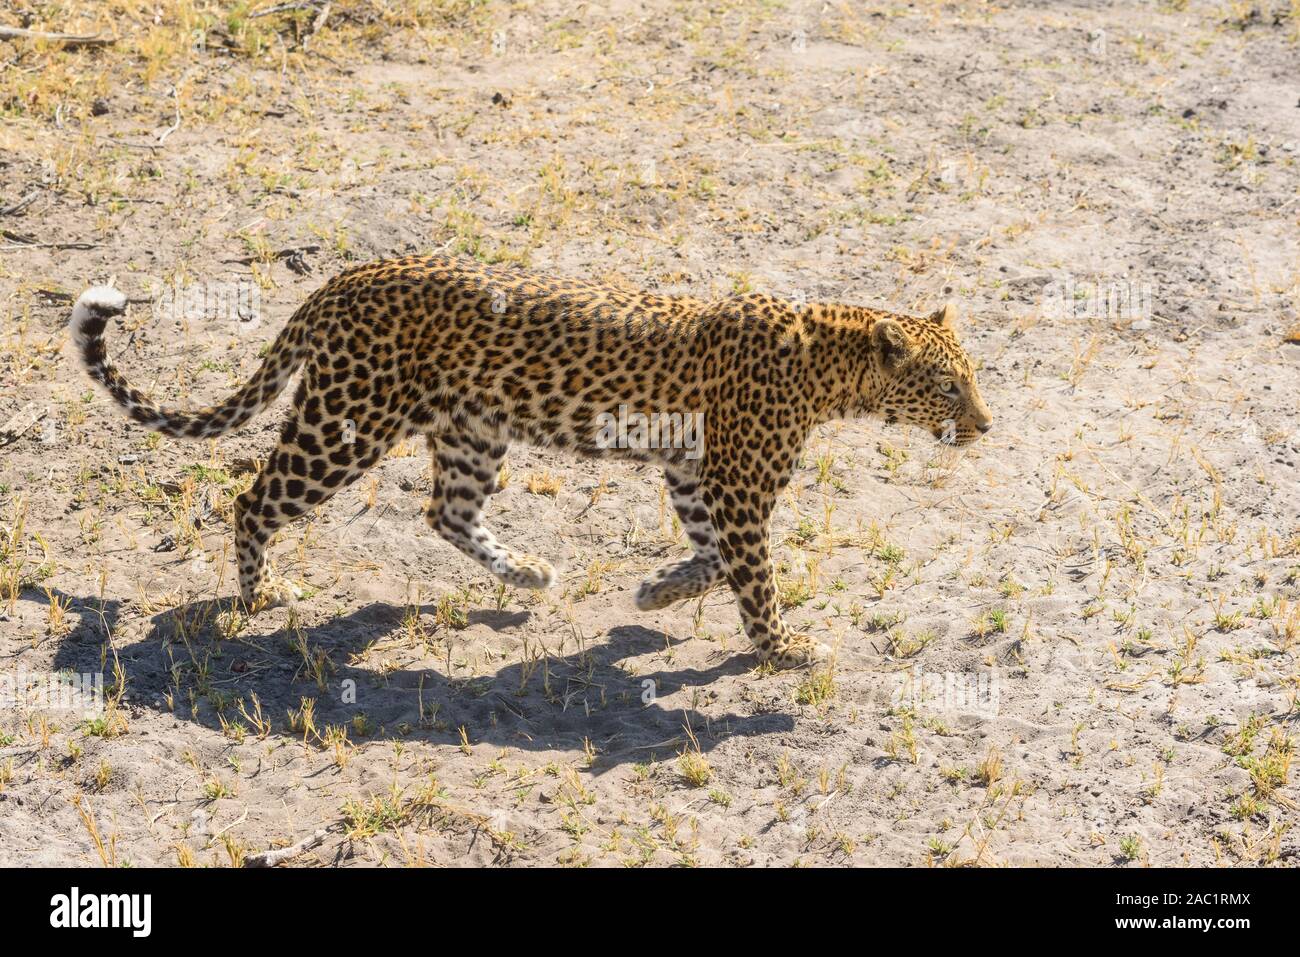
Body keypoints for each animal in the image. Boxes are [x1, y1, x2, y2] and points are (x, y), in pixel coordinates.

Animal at [71, 257, 987, 670]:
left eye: (971, 376)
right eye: (949, 384)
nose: (984, 423)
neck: (834, 369)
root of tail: (345, 276)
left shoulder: (695, 472)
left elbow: (712, 555)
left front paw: (655, 593)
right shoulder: (734, 482)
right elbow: (751, 570)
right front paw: (783, 646)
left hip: (471, 427)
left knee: (446, 510)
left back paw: (529, 576)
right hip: (345, 425)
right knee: (253, 497)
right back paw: (261, 596)